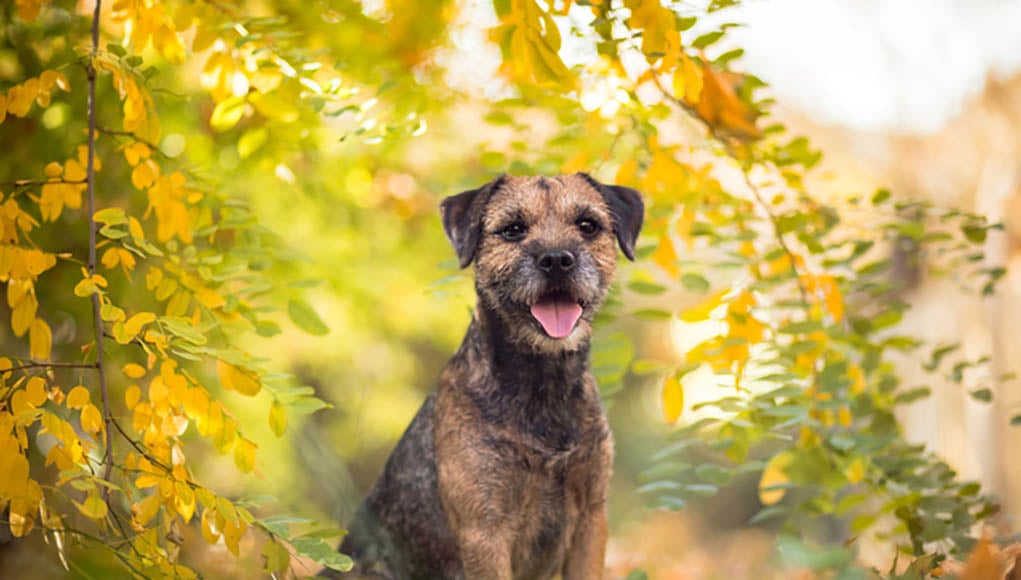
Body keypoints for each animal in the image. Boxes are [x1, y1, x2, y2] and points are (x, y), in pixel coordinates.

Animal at [328, 173, 645, 580]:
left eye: (588, 225)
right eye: (513, 229)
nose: (557, 260)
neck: (542, 382)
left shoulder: (590, 518)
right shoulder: (485, 531)